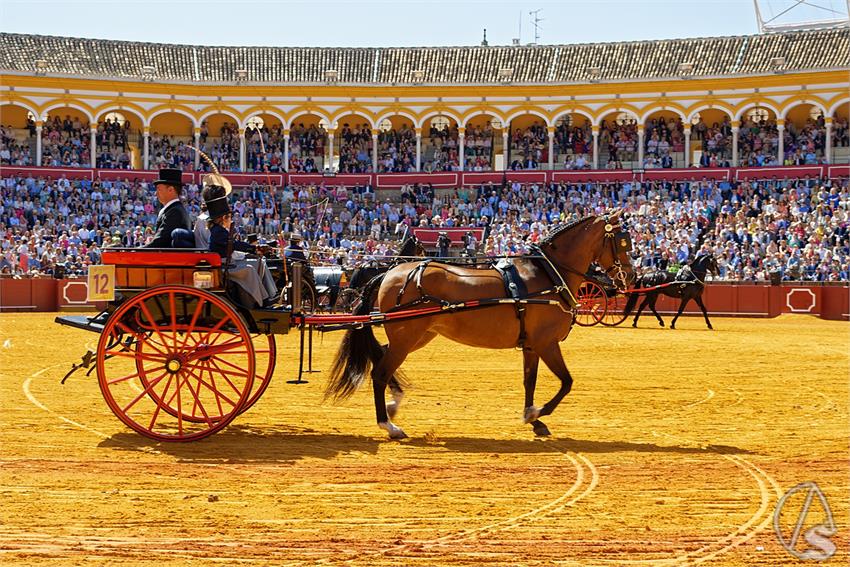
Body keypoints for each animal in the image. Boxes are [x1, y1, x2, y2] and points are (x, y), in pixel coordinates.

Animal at [324, 213, 628, 440]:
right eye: (623, 242)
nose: (631, 275)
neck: (548, 275)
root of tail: (389, 272)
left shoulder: (531, 344)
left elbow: (530, 380)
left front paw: (533, 418)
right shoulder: (546, 342)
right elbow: (566, 382)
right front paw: (538, 413)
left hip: (415, 336)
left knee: (381, 359)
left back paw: (394, 403)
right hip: (406, 337)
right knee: (379, 373)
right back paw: (389, 425)